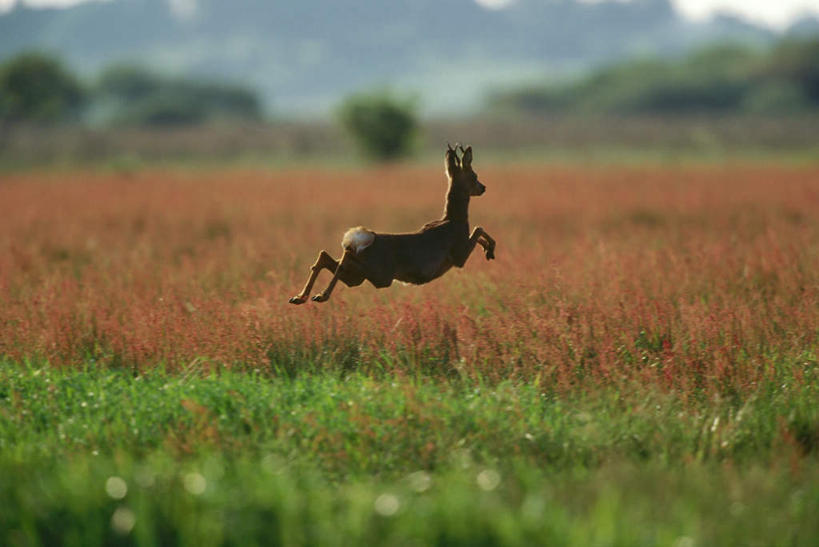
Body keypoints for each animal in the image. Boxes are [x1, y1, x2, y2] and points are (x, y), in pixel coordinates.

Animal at [290, 143, 494, 306]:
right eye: (474, 175)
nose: (483, 187)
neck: (453, 219)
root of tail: (358, 240)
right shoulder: (459, 255)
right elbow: (479, 229)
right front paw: (490, 250)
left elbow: (479, 232)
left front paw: (487, 249)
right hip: (379, 274)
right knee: (341, 261)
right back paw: (320, 296)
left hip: (361, 275)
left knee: (327, 256)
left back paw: (301, 297)